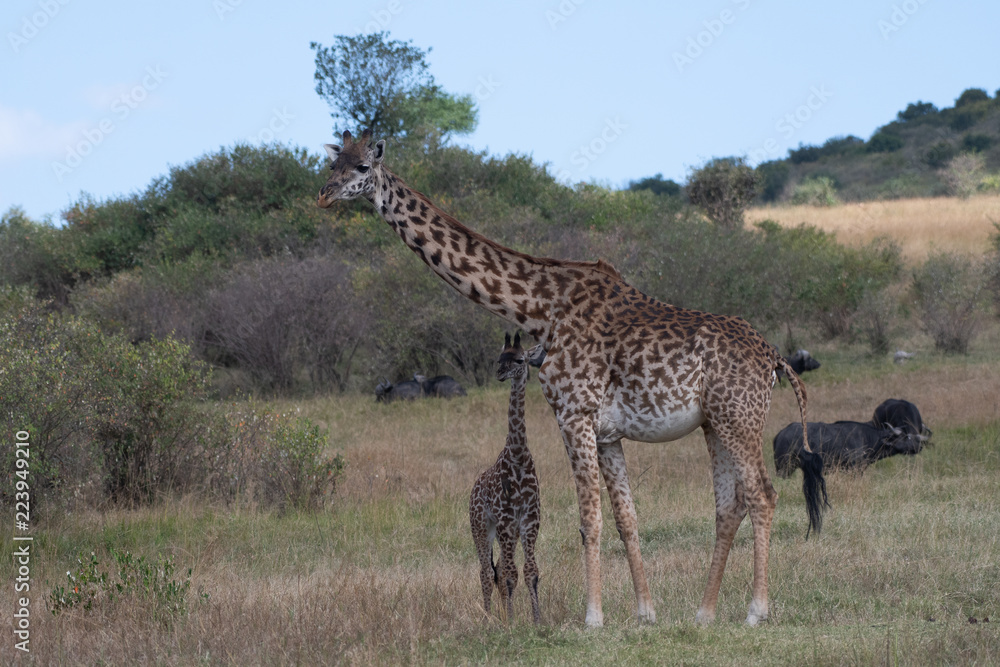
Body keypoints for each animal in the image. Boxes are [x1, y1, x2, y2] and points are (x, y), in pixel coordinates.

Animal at [318, 130, 828, 627]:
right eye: (331, 163)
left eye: (361, 166)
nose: (323, 195)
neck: (539, 307)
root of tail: (774, 358)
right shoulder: (606, 432)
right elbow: (625, 519)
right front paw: (645, 613)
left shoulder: (573, 414)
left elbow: (589, 521)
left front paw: (593, 617)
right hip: (713, 423)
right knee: (728, 505)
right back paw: (704, 614)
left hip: (740, 417)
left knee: (762, 495)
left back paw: (756, 610)